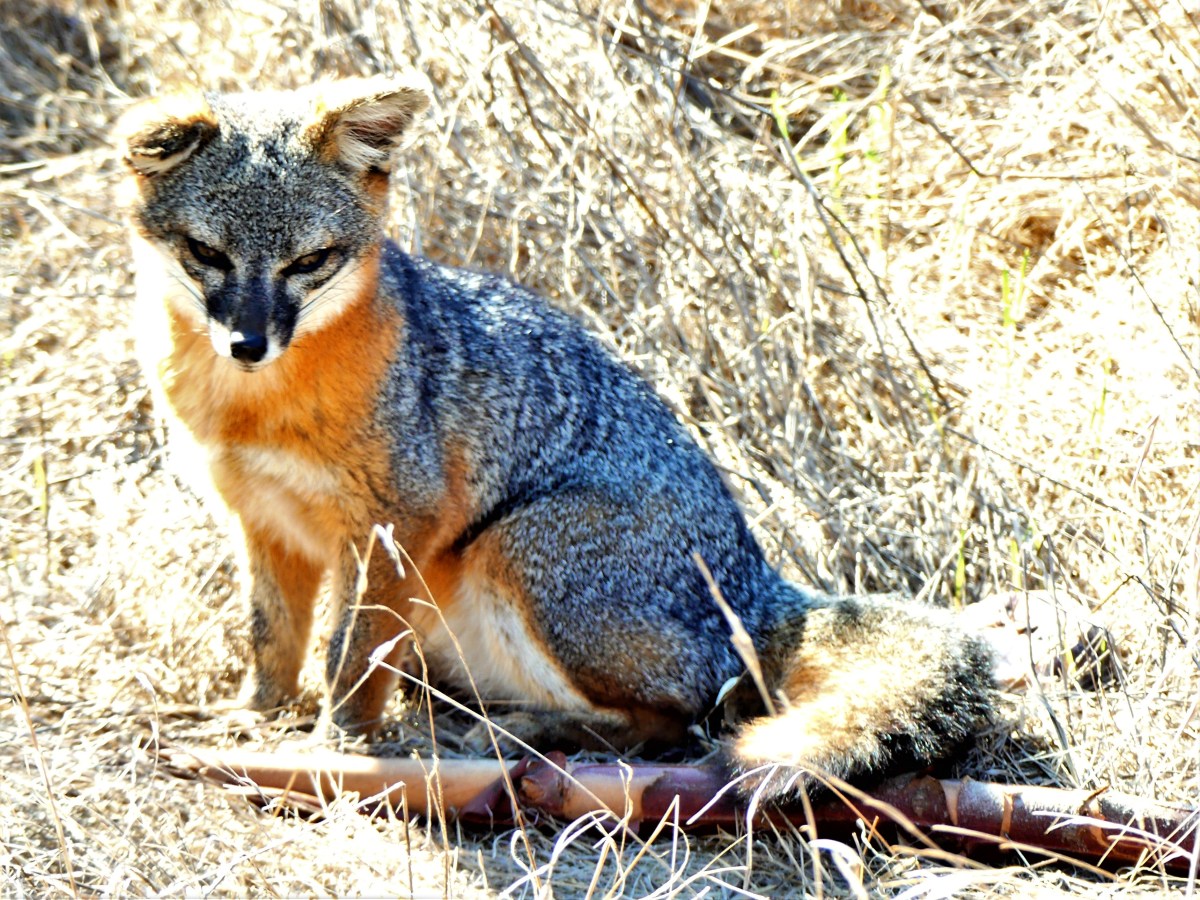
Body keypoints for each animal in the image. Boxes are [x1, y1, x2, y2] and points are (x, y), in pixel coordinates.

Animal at [116, 76, 994, 800]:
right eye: (206, 253)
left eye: (310, 261)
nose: (248, 343)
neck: (253, 408)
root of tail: (758, 585)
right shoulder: (263, 523)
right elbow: (272, 640)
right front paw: (257, 719)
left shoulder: (394, 526)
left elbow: (348, 656)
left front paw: (337, 747)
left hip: (520, 546)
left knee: (680, 721)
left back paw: (535, 736)